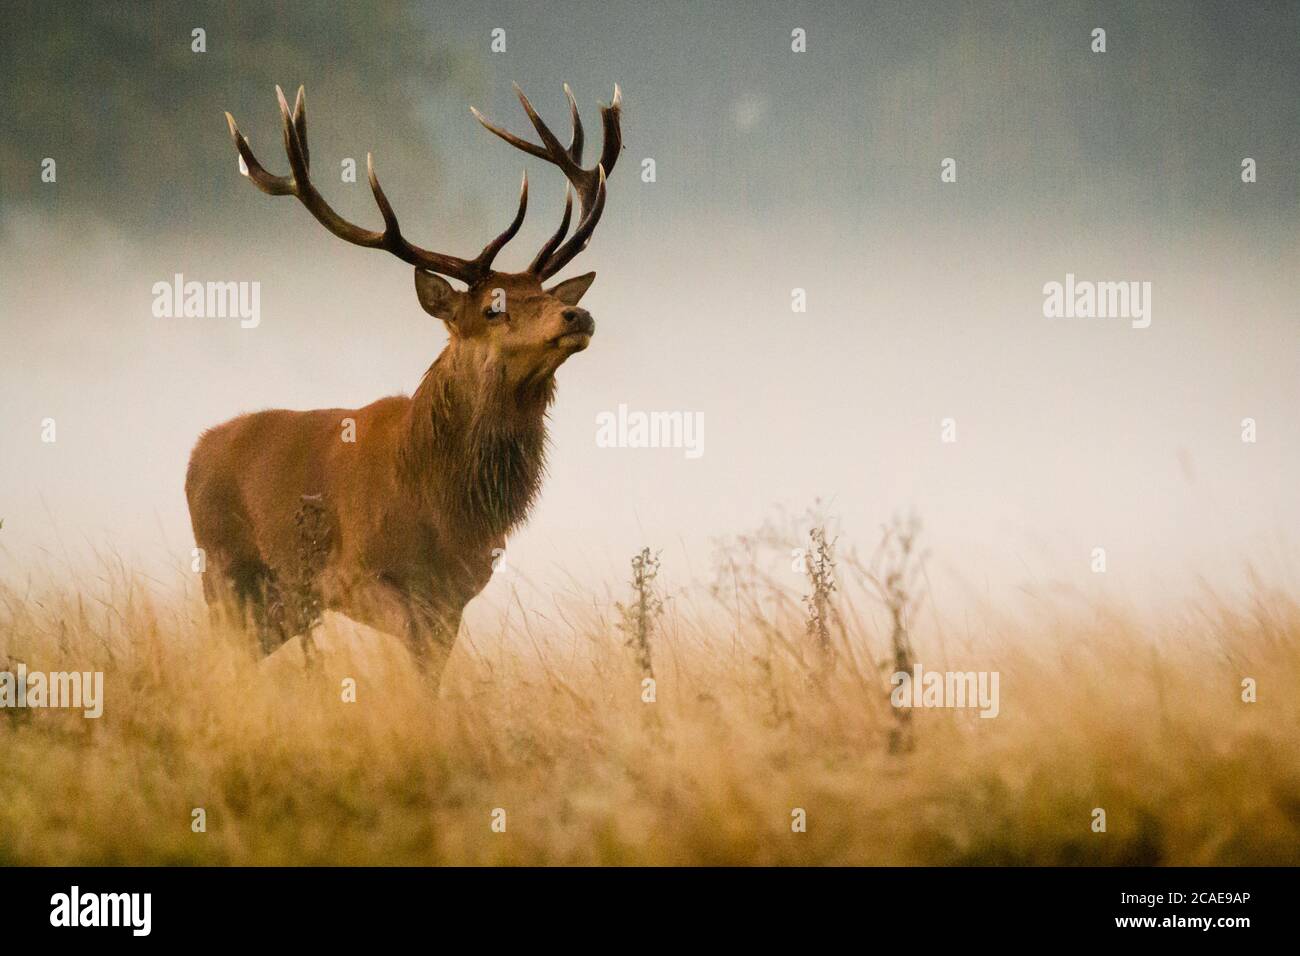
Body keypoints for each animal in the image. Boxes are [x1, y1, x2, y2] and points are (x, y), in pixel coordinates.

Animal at [185, 82, 622, 684]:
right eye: (492, 307)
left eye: (548, 294)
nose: (576, 316)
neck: (438, 505)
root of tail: (195, 456)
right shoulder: (353, 575)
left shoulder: (456, 594)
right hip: (225, 569)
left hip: (281, 603)